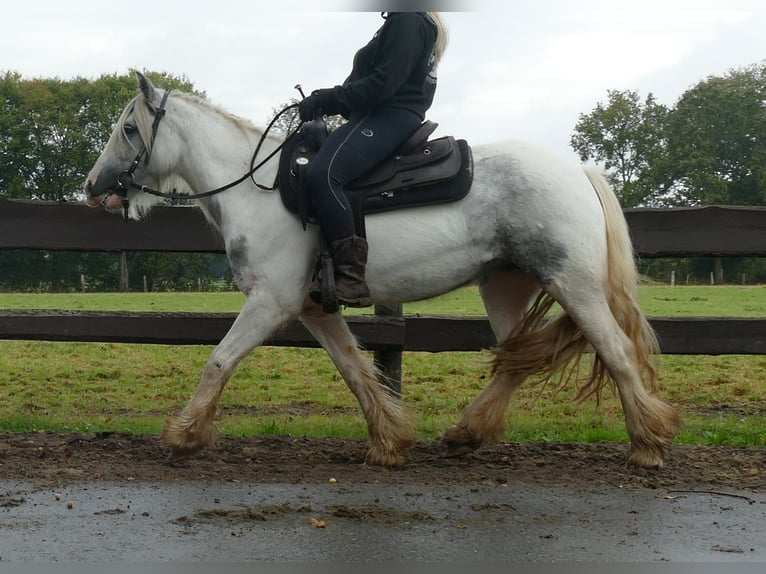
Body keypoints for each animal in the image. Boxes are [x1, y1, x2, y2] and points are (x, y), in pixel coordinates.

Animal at [84, 72, 684, 470]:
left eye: (130, 129)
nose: (94, 187)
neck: (260, 188)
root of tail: (578, 171)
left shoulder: (270, 301)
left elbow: (219, 361)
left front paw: (184, 434)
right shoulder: (311, 307)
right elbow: (354, 370)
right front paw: (389, 439)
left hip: (572, 283)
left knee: (615, 351)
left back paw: (647, 443)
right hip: (503, 284)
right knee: (517, 359)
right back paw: (466, 432)